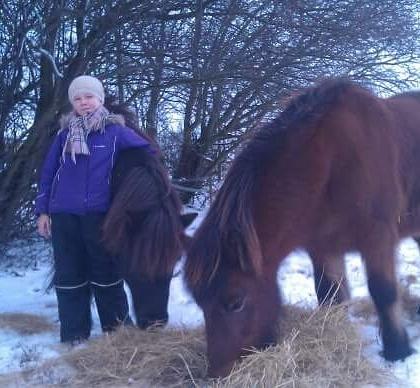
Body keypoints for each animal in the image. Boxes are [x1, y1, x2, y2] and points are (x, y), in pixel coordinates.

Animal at [185, 77, 420, 378]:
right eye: (199, 303)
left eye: (235, 302)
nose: (219, 372)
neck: (330, 163)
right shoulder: (323, 247)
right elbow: (330, 295)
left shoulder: (377, 239)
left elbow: (383, 292)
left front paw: (397, 350)